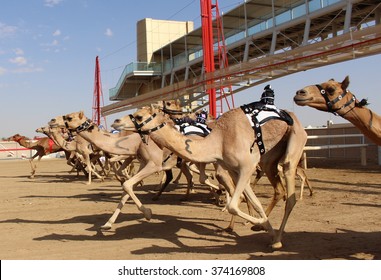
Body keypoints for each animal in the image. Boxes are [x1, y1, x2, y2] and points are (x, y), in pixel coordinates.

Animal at [110, 104, 306, 248]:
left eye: (139, 116)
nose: (115, 121)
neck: (218, 140)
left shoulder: (247, 166)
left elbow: (233, 204)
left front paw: (267, 229)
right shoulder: (234, 169)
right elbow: (254, 202)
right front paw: (264, 226)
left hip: (294, 146)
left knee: (290, 192)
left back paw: (278, 238)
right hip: (268, 161)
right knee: (279, 189)